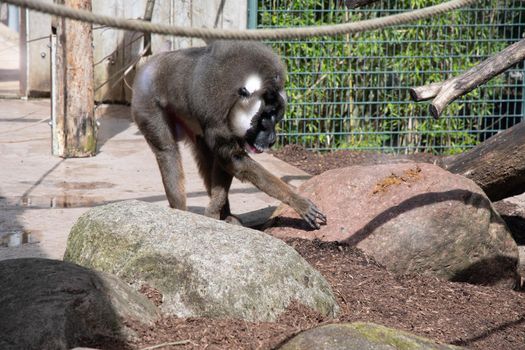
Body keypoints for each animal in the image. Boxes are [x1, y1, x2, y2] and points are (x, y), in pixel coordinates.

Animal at [131, 40, 326, 230]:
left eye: (275, 117)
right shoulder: (215, 115)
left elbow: (226, 161)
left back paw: (225, 214)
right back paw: (180, 212)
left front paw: (215, 212)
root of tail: (151, 64)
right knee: (167, 152)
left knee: (207, 157)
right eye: (265, 117)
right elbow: (233, 159)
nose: (272, 140)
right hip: (146, 103)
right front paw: (298, 201)